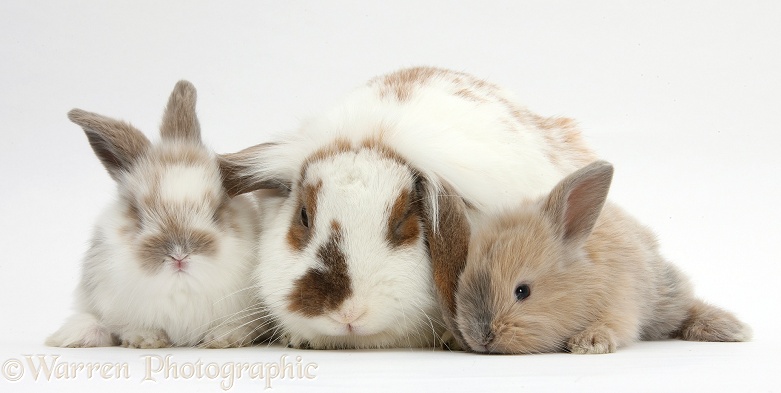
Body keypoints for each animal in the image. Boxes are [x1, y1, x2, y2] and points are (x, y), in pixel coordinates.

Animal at [47, 81, 274, 348]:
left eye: (217, 211)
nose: (179, 255)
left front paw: (223, 338)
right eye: (138, 212)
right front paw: (146, 339)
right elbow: (131, 327)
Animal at [454, 161, 752, 354]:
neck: (582, 282)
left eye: (522, 291)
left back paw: (732, 329)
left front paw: (589, 343)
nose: (481, 338)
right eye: (461, 283)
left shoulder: (621, 302)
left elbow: (614, 325)